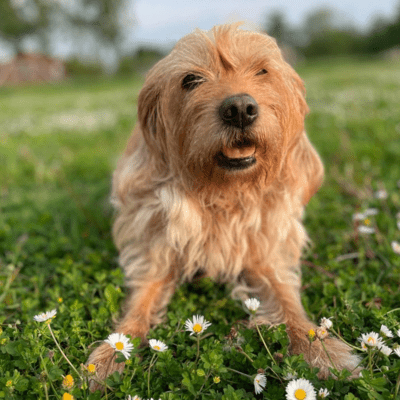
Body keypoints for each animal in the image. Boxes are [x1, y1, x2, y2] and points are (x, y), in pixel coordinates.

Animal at [86, 22, 360, 388]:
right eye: (190, 79)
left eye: (262, 71)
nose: (240, 109)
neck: (221, 192)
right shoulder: (155, 255)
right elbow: (139, 304)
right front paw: (110, 355)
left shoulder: (264, 256)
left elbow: (287, 302)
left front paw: (319, 347)